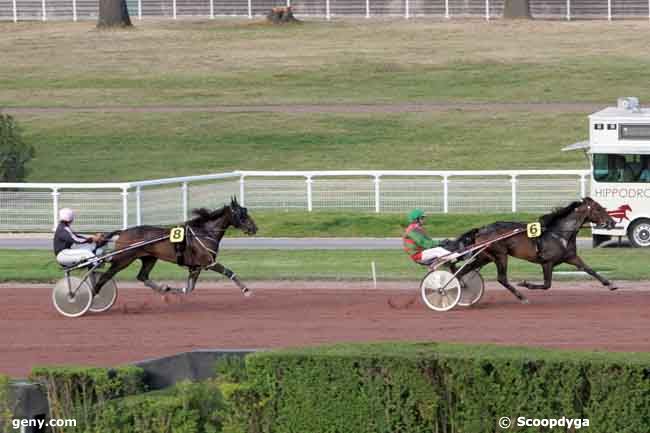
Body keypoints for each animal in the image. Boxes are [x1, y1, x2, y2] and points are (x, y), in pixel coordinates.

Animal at [93, 197, 256, 296]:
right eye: (242, 215)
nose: (254, 228)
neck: (204, 232)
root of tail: (123, 232)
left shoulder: (196, 267)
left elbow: (189, 288)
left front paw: (173, 289)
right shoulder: (209, 262)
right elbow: (229, 272)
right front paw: (246, 290)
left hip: (149, 258)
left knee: (142, 276)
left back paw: (163, 288)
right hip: (123, 259)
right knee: (105, 276)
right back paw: (94, 295)